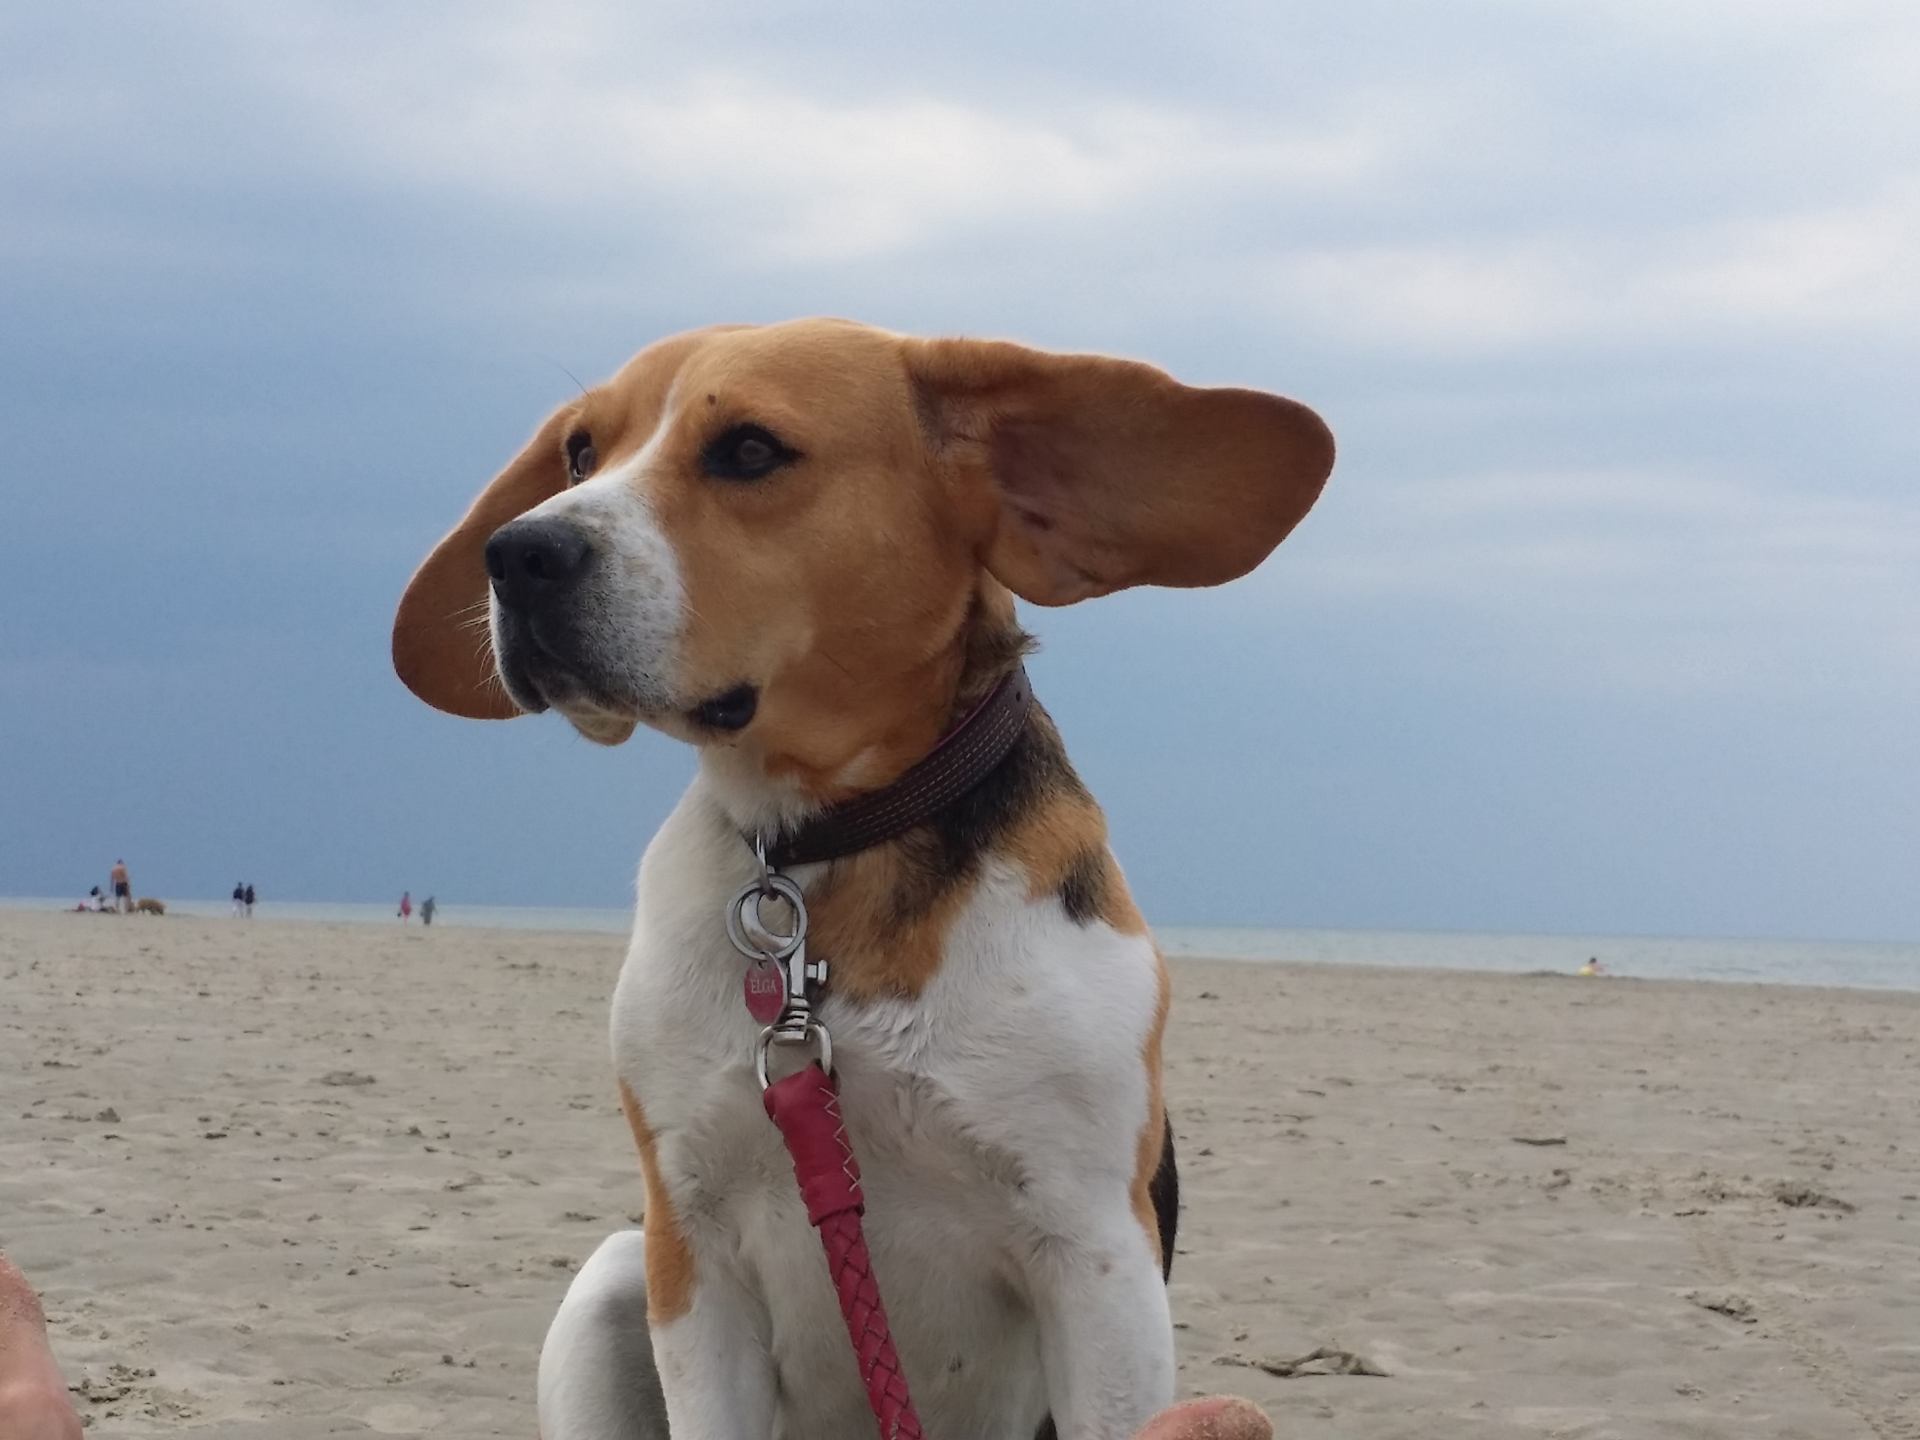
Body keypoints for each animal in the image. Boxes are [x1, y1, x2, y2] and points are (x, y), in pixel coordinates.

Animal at [382, 318, 1328, 1440]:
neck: (823, 854)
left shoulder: (1098, 1258)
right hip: (614, 1275)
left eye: (750, 449)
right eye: (579, 453)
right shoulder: (690, 1246)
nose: (517, 554)